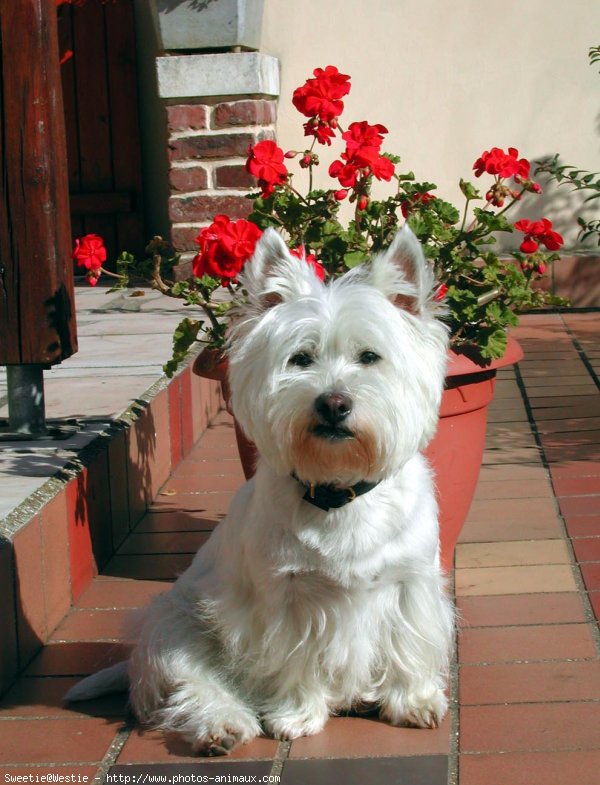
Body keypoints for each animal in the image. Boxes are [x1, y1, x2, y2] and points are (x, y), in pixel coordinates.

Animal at [67, 225, 454, 752]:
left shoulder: (411, 583)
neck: (338, 493)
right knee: (192, 684)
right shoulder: (287, 599)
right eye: (301, 358)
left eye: (370, 357)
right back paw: (222, 727)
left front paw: (413, 701)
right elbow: (295, 658)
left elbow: (409, 644)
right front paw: (297, 715)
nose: (333, 403)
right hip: (178, 625)